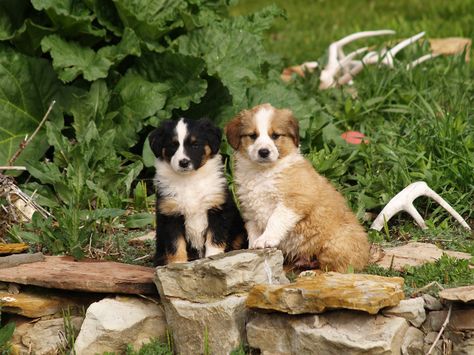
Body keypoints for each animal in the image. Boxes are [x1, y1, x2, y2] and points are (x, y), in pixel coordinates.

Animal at [148, 118, 246, 266]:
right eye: (172, 145)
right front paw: (178, 265)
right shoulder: (171, 214)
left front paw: (213, 259)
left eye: (195, 145)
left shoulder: (217, 209)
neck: (189, 179)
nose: (183, 162)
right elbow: (176, 245)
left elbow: (214, 240)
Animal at [225, 103, 370, 272]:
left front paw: (266, 239)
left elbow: (275, 220)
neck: (262, 172)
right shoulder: (250, 209)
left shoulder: (294, 200)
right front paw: (254, 245)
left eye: (275, 136)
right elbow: (253, 230)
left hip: (336, 245)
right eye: (253, 135)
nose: (264, 152)